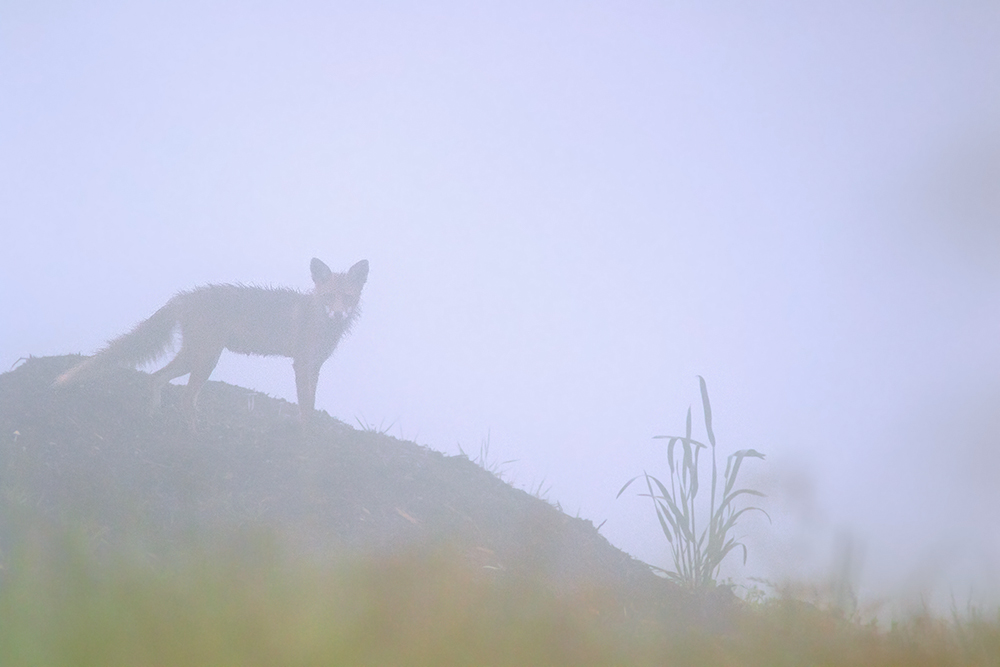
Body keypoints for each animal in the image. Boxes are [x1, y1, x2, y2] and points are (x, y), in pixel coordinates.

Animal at [55, 258, 368, 426]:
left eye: (347, 298)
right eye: (329, 297)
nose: (338, 314)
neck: (318, 319)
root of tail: (184, 296)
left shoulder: (315, 366)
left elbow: (311, 404)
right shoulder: (301, 364)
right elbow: (306, 405)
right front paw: (305, 437)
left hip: (193, 357)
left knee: (157, 378)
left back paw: (154, 416)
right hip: (206, 359)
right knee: (184, 397)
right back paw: (194, 436)